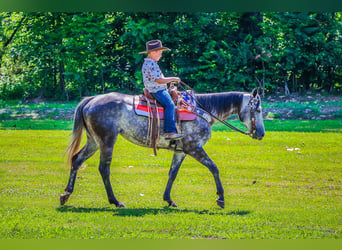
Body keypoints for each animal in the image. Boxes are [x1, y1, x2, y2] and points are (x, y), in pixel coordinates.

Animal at [60, 88, 266, 209]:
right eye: (258, 110)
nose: (261, 134)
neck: (202, 111)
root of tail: (91, 100)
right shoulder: (194, 147)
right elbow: (214, 168)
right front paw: (221, 198)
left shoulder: (181, 151)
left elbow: (172, 174)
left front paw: (169, 199)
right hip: (106, 140)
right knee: (104, 168)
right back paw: (115, 201)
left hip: (94, 141)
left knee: (77, 160)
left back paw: (66, 194)